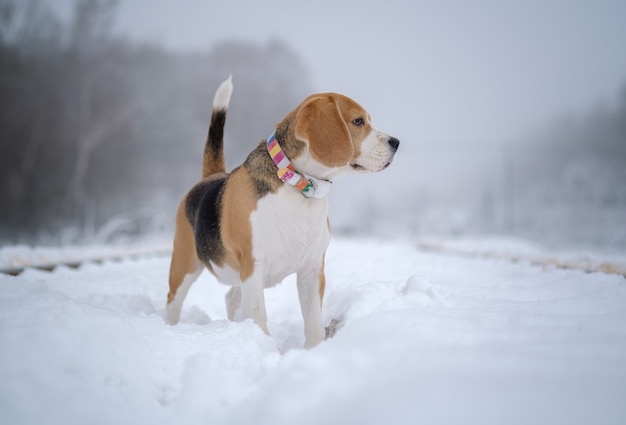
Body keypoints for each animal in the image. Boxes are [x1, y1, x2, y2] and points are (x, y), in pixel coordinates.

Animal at [166, 77, 398, 348]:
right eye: (358, 121)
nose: (396, 142)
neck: (298, 186)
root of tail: (212, 176)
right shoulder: (254, 268)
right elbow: (259, 316)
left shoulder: (312, 270)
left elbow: (314, 322)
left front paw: (313, 350)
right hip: (185, 265)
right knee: (173, 300)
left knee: (231, 297)